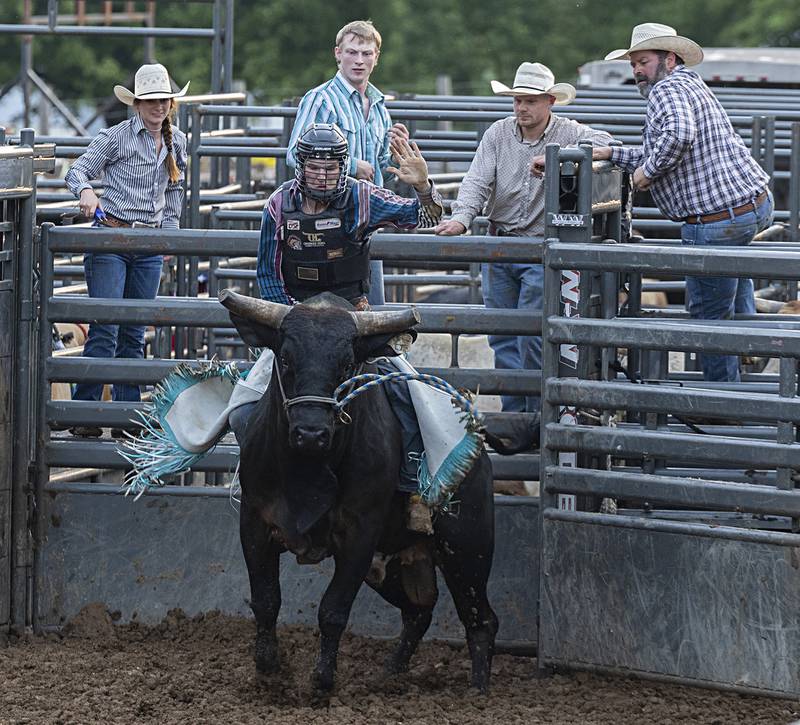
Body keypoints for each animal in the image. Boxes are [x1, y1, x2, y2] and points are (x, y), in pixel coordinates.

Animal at [216, 288, 496, 692]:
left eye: (348, 364)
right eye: (285, 358)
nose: (311, 433)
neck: (308, 469)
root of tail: (477, 448)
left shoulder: (360, 536)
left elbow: (333, 610)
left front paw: (322, 680)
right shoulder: (255, 522)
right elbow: (266, 600)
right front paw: (269, 667)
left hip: (466, 547)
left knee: (480, 617)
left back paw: (478, 689)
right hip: (392, 563)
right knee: (419, 611)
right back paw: (388, 674)